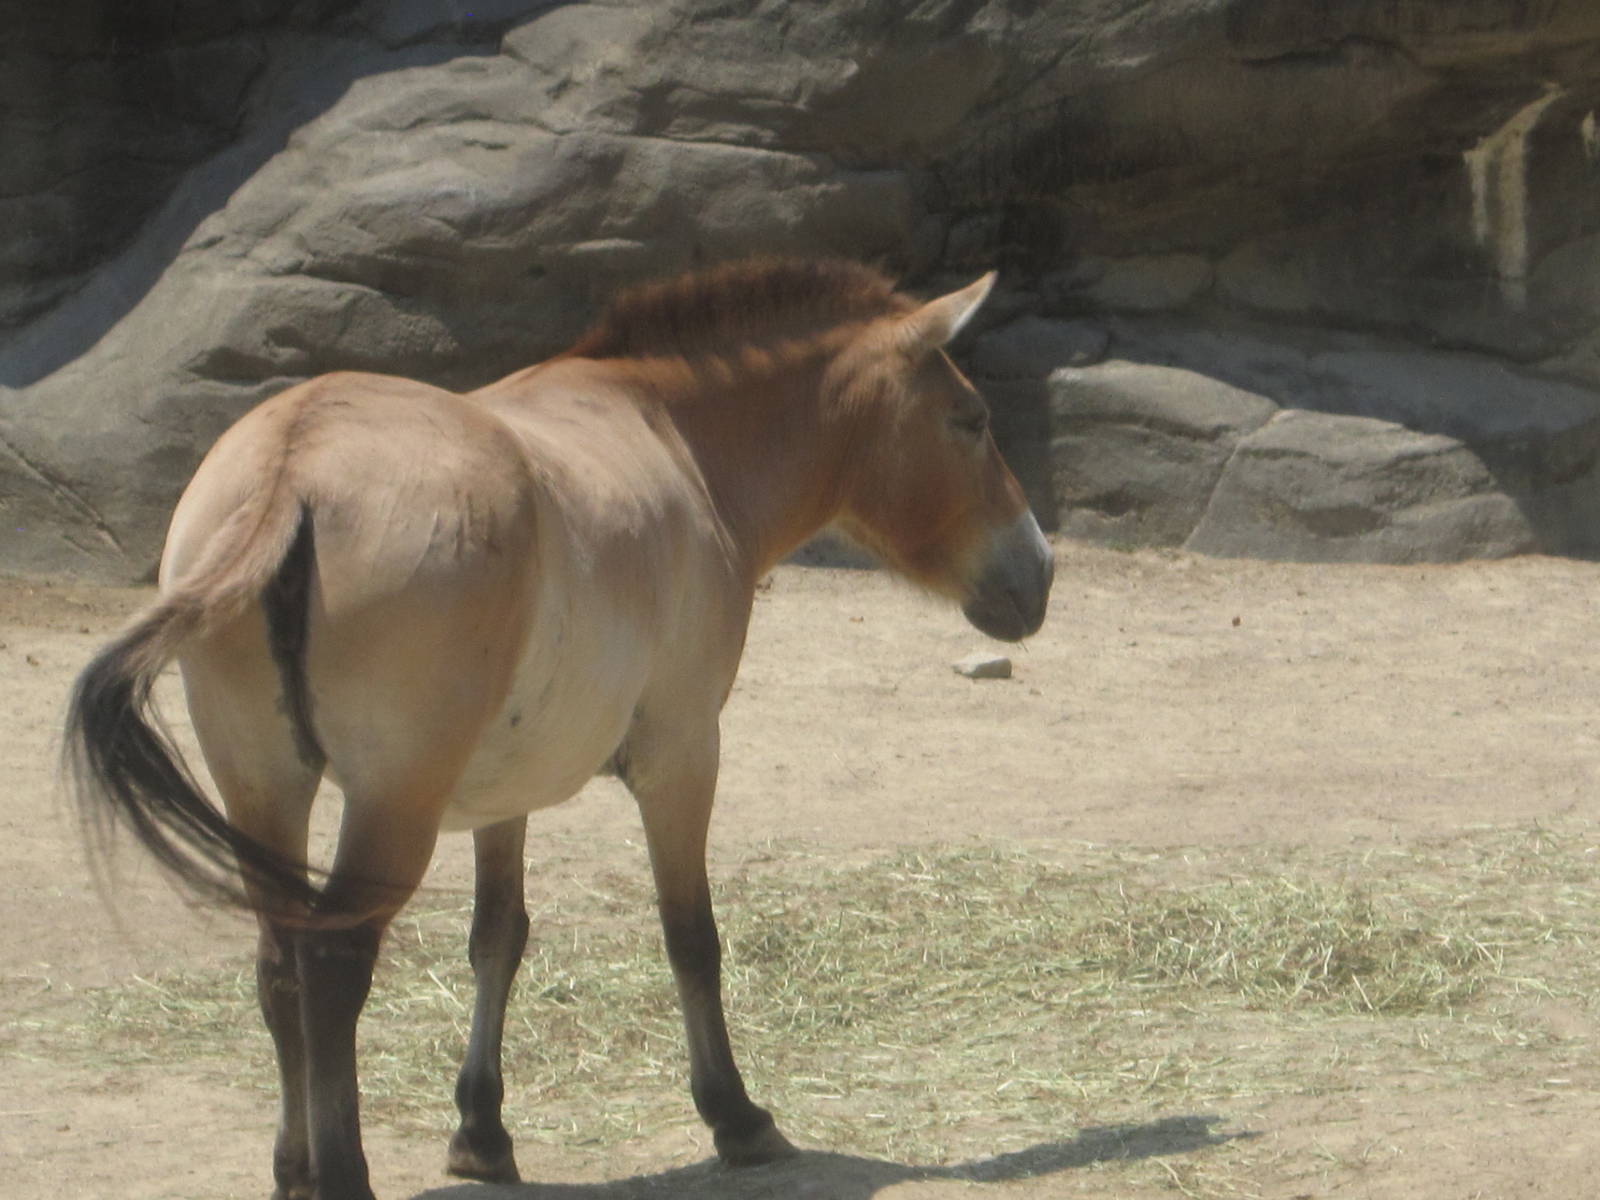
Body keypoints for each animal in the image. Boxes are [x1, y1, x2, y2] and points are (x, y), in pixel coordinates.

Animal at [65, 257, 1053, 1200]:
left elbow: (498, 937)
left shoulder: (504, 791)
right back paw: (343, 1178)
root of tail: (291, 466)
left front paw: (481, 1133)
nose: (1039, 573)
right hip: (390, 806)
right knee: (334, 965)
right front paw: (736, 1118)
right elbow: (690, 936)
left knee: (280, 966)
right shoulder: (683, 754)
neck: (677, 440)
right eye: (970, 419)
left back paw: (296, 1170)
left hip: (264, 785)